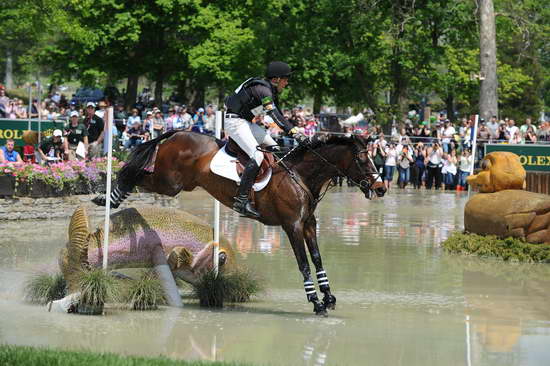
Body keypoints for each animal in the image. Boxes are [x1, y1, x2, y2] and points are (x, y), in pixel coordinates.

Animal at [94, 130, 388, 316]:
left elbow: (317, 259)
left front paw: (328, 298)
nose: (381, 188)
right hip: (169, 182)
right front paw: (315, 302)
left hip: (179, 184)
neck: (301, 176)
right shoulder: (291, 225)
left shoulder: (308, 224)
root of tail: (178, 134)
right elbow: (304, 264)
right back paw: (108, 195)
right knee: (137, 173)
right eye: (363, 159)